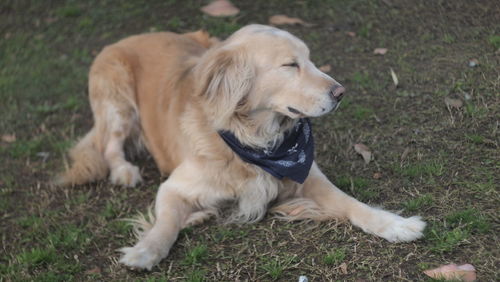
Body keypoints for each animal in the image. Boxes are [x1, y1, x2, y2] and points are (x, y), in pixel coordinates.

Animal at [58, 24, 426, 268]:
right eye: (290, 65)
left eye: (310, 60)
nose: (341, 92)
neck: (256, 142)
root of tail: (130, 37)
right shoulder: (173, 186)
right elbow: (164, 224)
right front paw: (145, 250)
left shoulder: (309, 176)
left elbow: (353, 204)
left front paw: (396, 224)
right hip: (117, 97)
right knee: (110, 145)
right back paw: (124, 171)